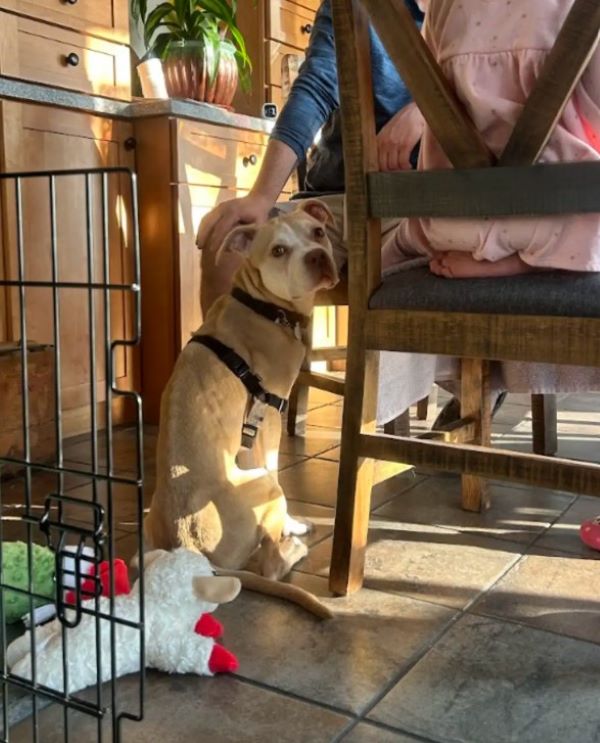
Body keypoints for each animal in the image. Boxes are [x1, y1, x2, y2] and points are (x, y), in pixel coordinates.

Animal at [142, 201, 338, 620]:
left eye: (317, 233)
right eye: (278, 250)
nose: (317, 256)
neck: (262, 305)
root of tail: (191, 551)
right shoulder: (272, 414)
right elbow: (276, 463)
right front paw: (293, 526)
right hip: (263, 485)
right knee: (271, 565)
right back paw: (294, 548)